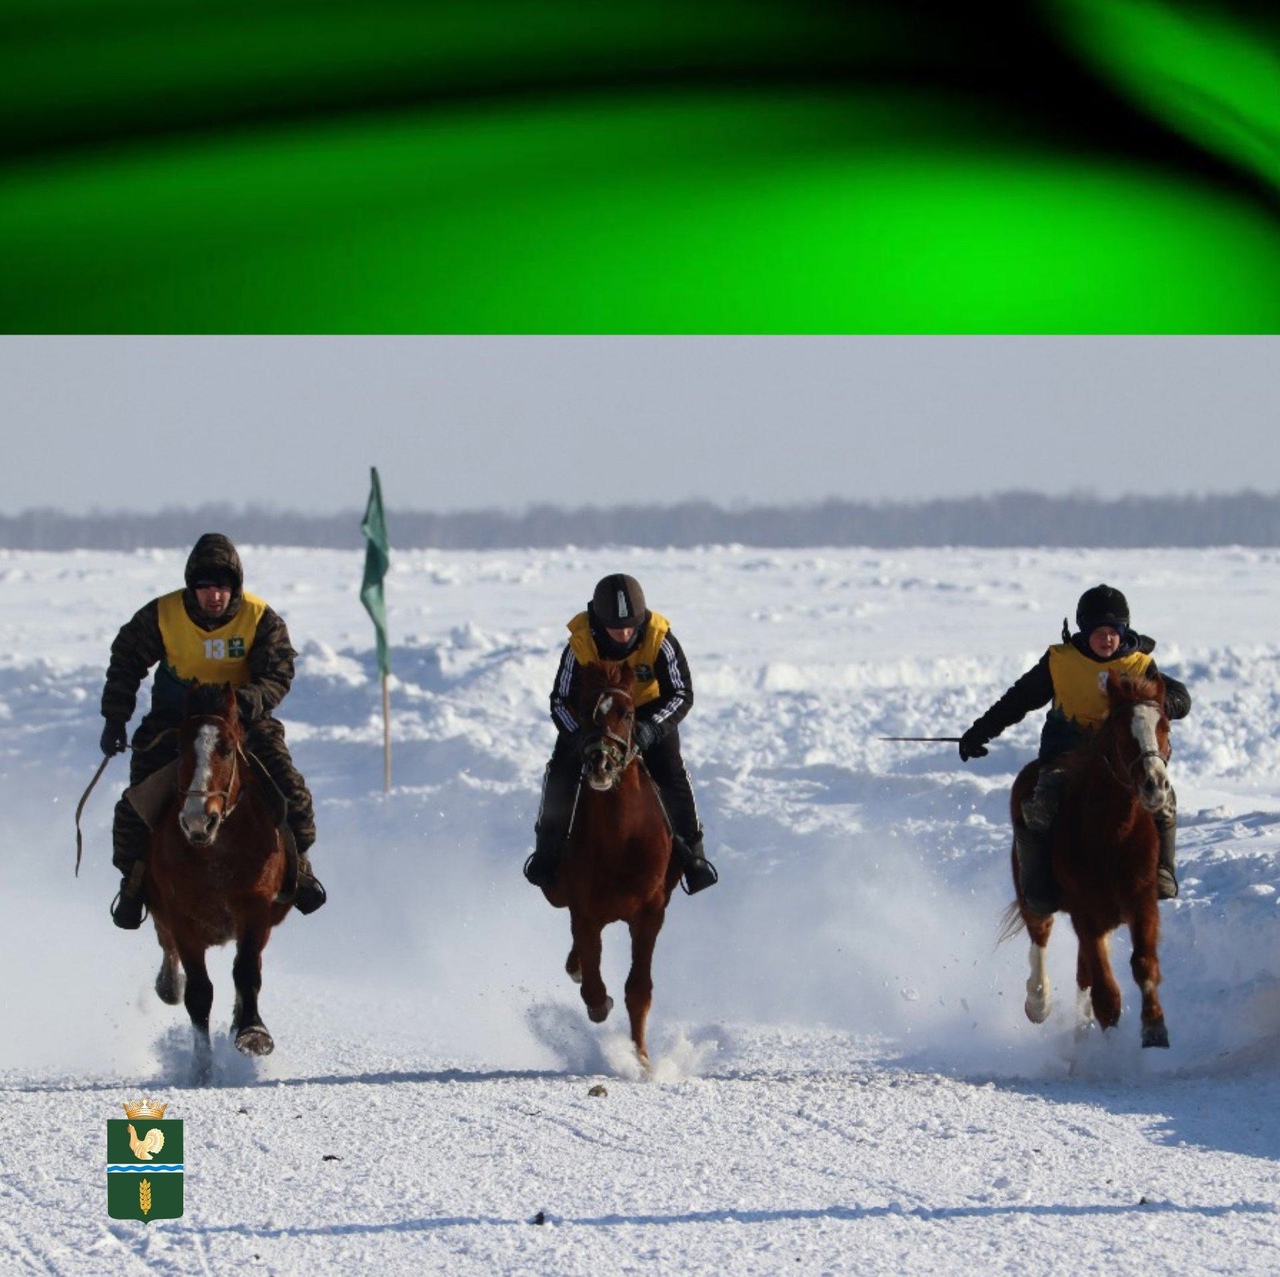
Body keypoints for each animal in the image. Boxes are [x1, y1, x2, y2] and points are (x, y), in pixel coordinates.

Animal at [145, 685, 293, 1085]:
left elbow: (246, 973)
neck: (214, 851)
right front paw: (201, 1069)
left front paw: (253, 1034)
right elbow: (199, 992)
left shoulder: (255, 908)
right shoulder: (181, 917)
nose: (199, 819)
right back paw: (168, 985)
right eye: (180, 748)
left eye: (226, 748)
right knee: (167, 953)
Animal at [537, 660, 680, 1069]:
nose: (600, 764)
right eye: (586, 709)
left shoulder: (651, 912)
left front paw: (642, 1060)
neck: (621, 836)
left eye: (628, 713)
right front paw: (601, 1004)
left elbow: (639, 988)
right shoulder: (584, 908)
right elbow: (593, 985)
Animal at [1003, 670, 1172, 1049]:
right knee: (1041, 934)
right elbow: (1107, 994)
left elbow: (1144, 964)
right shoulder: (1086, 911)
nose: (1156, 786)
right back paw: (1039, 1001)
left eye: (1165, 727)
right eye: (1123, 733)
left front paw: (1154, 1027)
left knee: (1083, 972)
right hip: (1033, 891)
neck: (1112, 835)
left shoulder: (1142, 902)